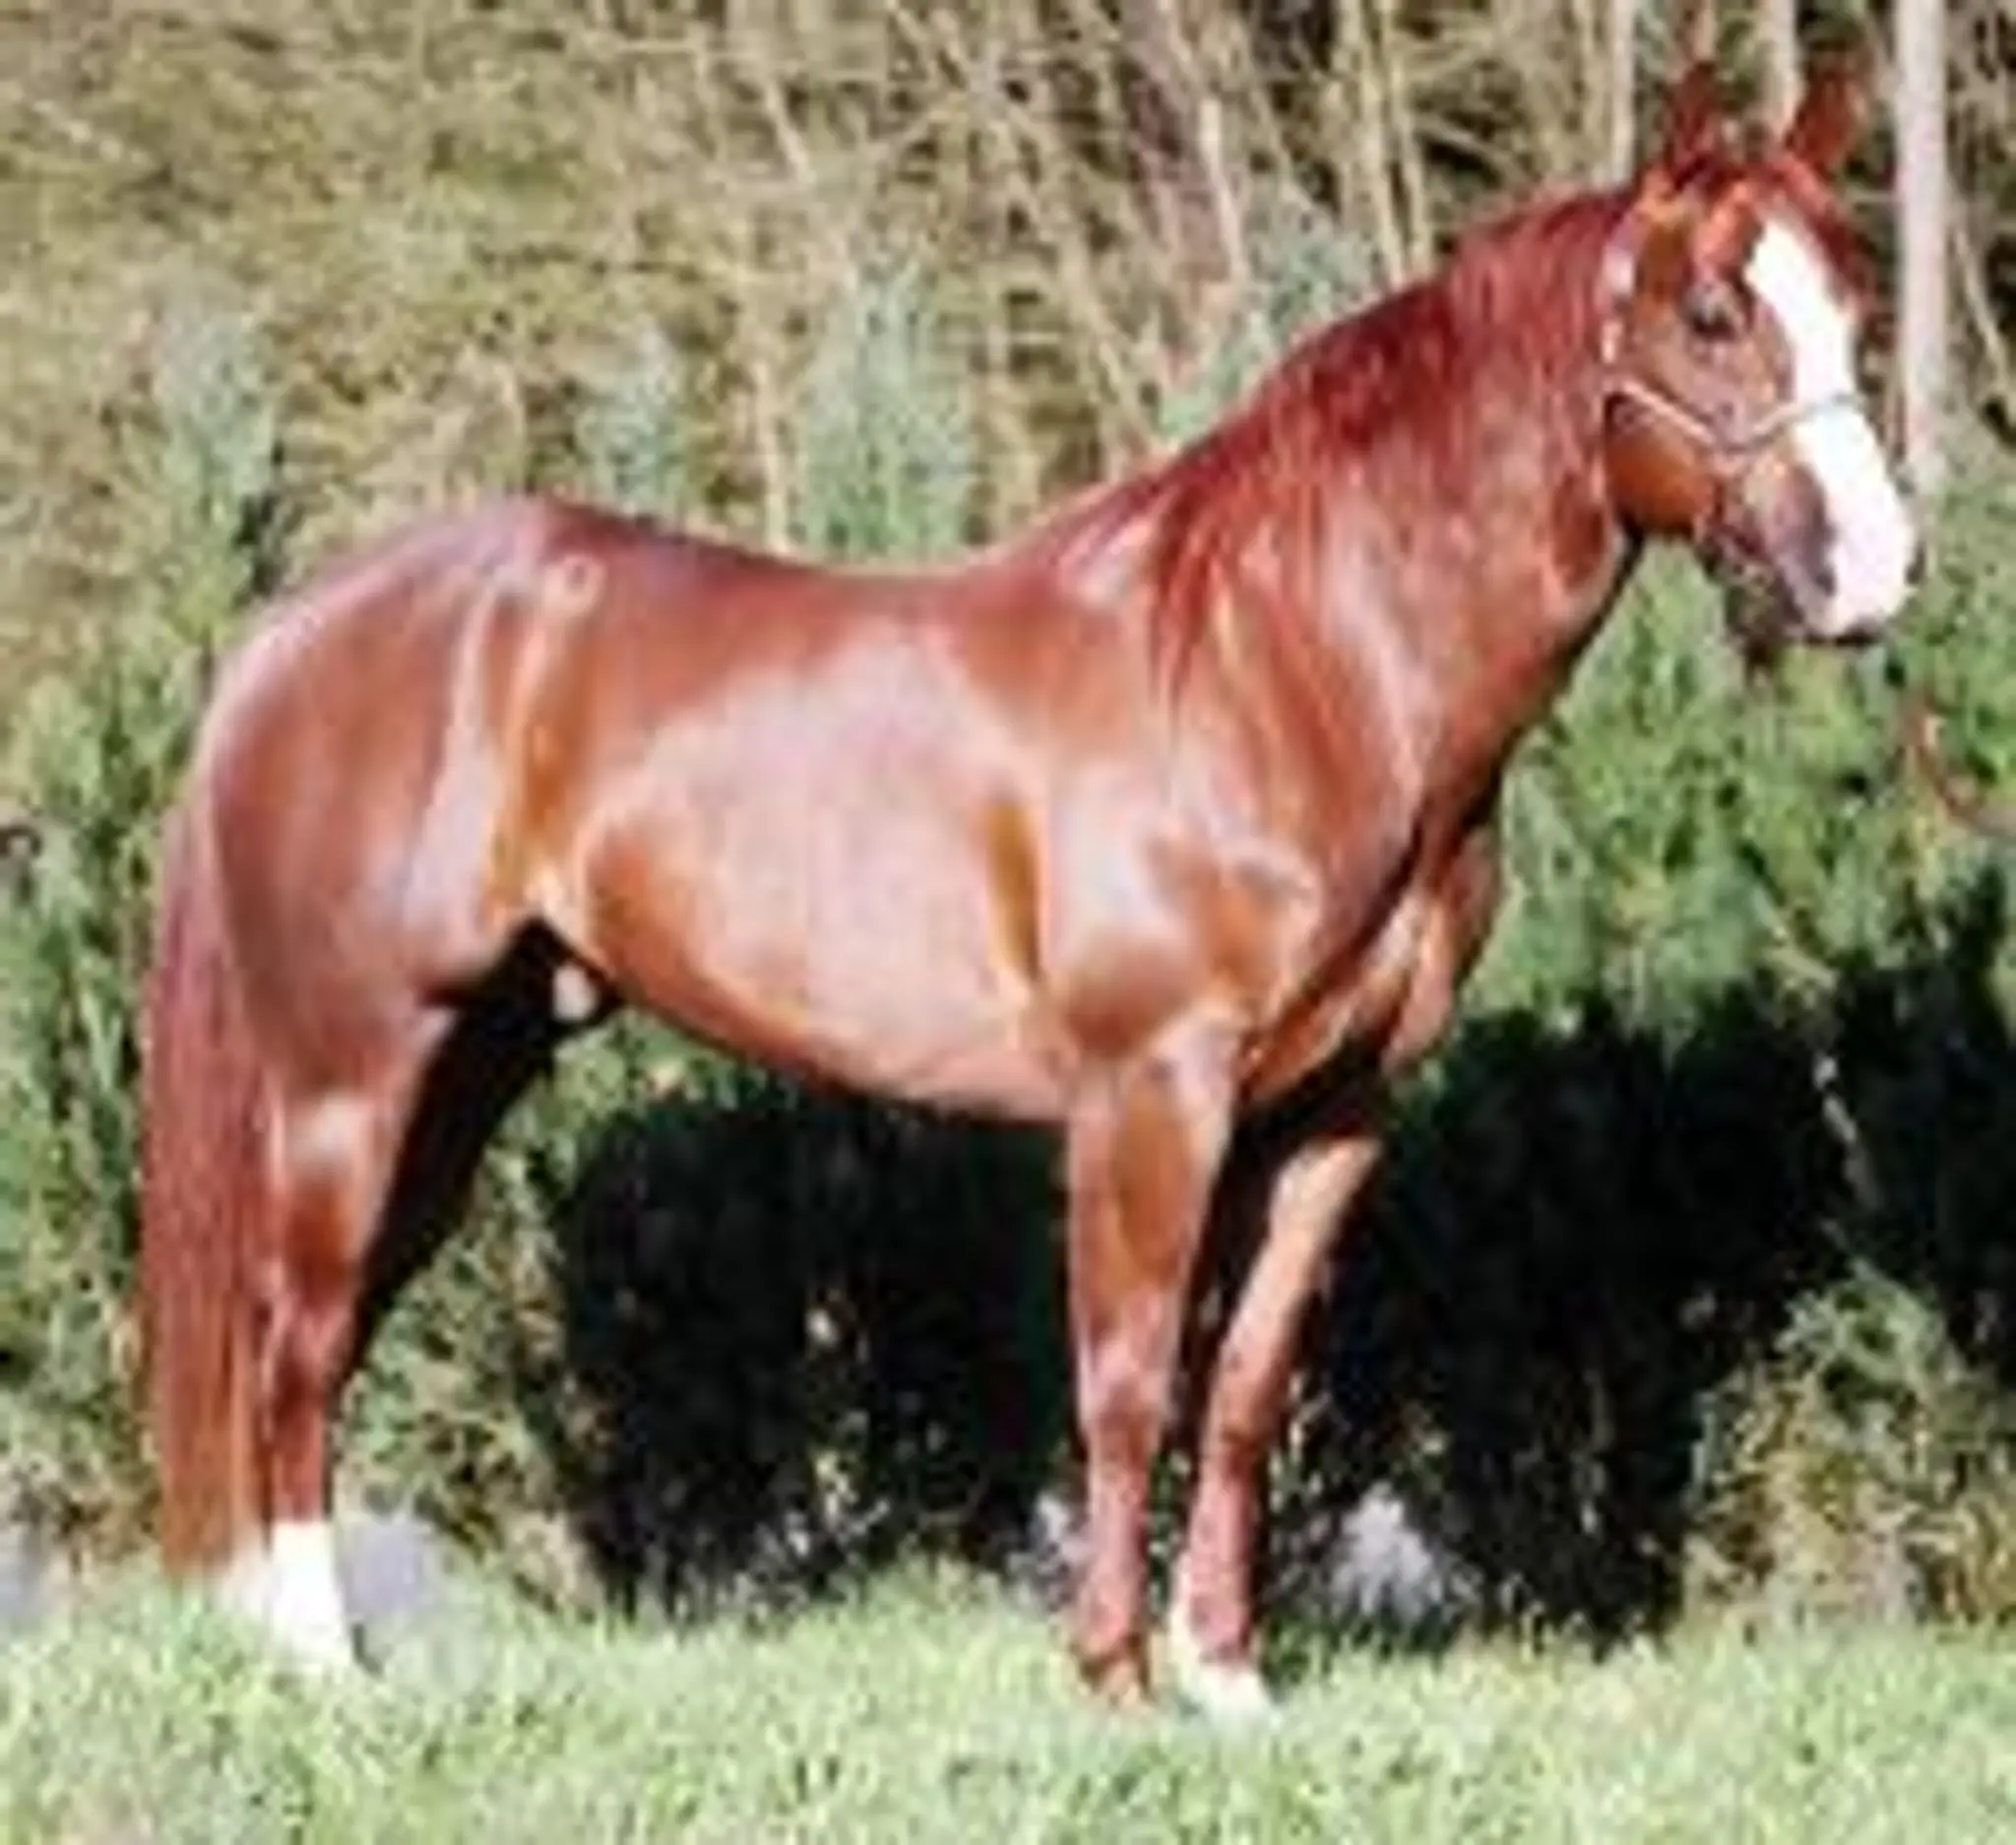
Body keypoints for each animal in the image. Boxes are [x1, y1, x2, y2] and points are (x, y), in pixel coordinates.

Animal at [140, 56, 1917, 1717]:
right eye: (1711, 312)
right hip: (356, 1073)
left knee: (313, 1341)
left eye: (1854, 305)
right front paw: (1115, 1679)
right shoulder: (1151, 1092)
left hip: (465, 1074)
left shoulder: (1336, 1111)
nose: (1878, 571)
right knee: (292, 1342)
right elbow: (1124, 1380)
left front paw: (1231, 1680)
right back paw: (323, 1662)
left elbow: (1246, 1388)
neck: (1290, 668)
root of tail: (298, 630)